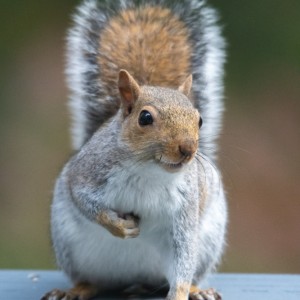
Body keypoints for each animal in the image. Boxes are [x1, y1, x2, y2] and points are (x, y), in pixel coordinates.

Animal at [42, 0, 227, 300]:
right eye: (145, 118)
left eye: (199, 120)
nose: (187, 149)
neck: (149, 170)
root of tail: (134, 280)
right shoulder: (88, 172)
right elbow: (83, 200)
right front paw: (117, 225)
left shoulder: (185, 210)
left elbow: (183, 257)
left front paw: (180, 292)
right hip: (69, 246)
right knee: (92, 281)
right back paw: (76, 290)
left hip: (208, 242)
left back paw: (197, 289)